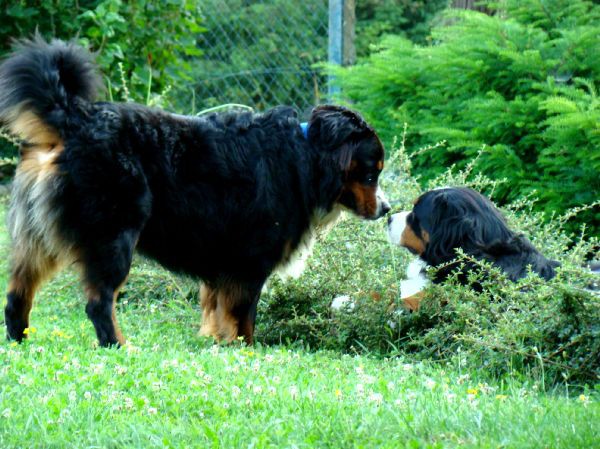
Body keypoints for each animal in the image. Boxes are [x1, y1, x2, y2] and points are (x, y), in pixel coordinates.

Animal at [0, 38, 390, 346]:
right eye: (372, 173)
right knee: (99, 302)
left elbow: (218, 311)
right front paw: (246, 349)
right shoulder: (249, 262)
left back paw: (20, 342)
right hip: (112, 236)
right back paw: (119, 346)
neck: (306, 156)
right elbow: (244, 316)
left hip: (37, 238)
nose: (387, 209)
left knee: (18, 293)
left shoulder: (222, 267)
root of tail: (74, 117)